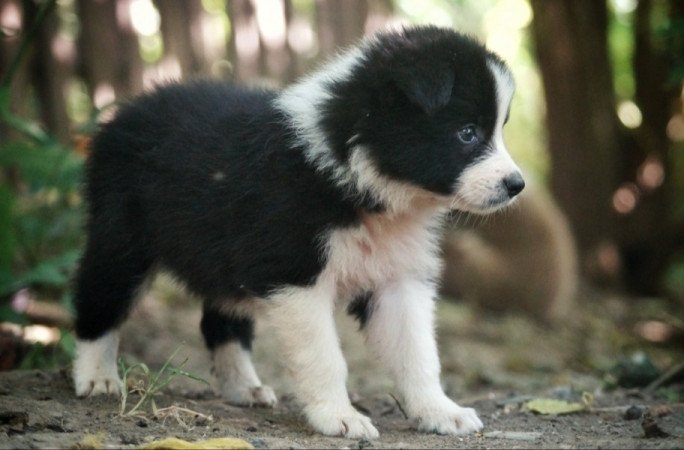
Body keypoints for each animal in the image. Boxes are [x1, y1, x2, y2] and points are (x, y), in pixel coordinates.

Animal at [72, 25, 524, 440]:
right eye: (467, 132)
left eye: (499, 129)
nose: (517, 185)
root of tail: (126, 110)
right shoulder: (294, 272)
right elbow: (324, 356)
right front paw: (339, 417)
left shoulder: (398, 277)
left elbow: (418, 352)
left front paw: (440, 411)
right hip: (122, 236)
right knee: (101, 298)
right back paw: (97, 377)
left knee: (220, 320)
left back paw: (243, 387)